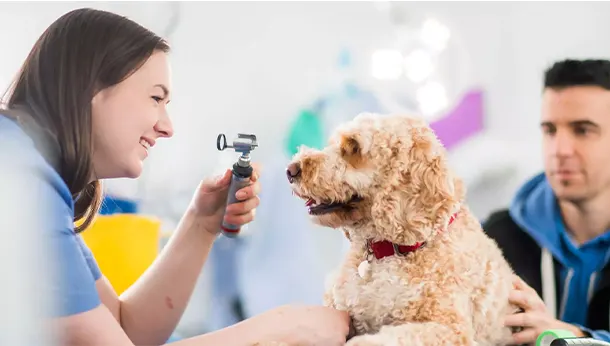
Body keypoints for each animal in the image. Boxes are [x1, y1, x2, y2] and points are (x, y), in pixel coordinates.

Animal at [282, 112, 516, 344]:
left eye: (354, 146)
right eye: (332, 144)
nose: (291, 170)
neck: (389, 249)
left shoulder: (450, 328)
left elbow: (386, 338)